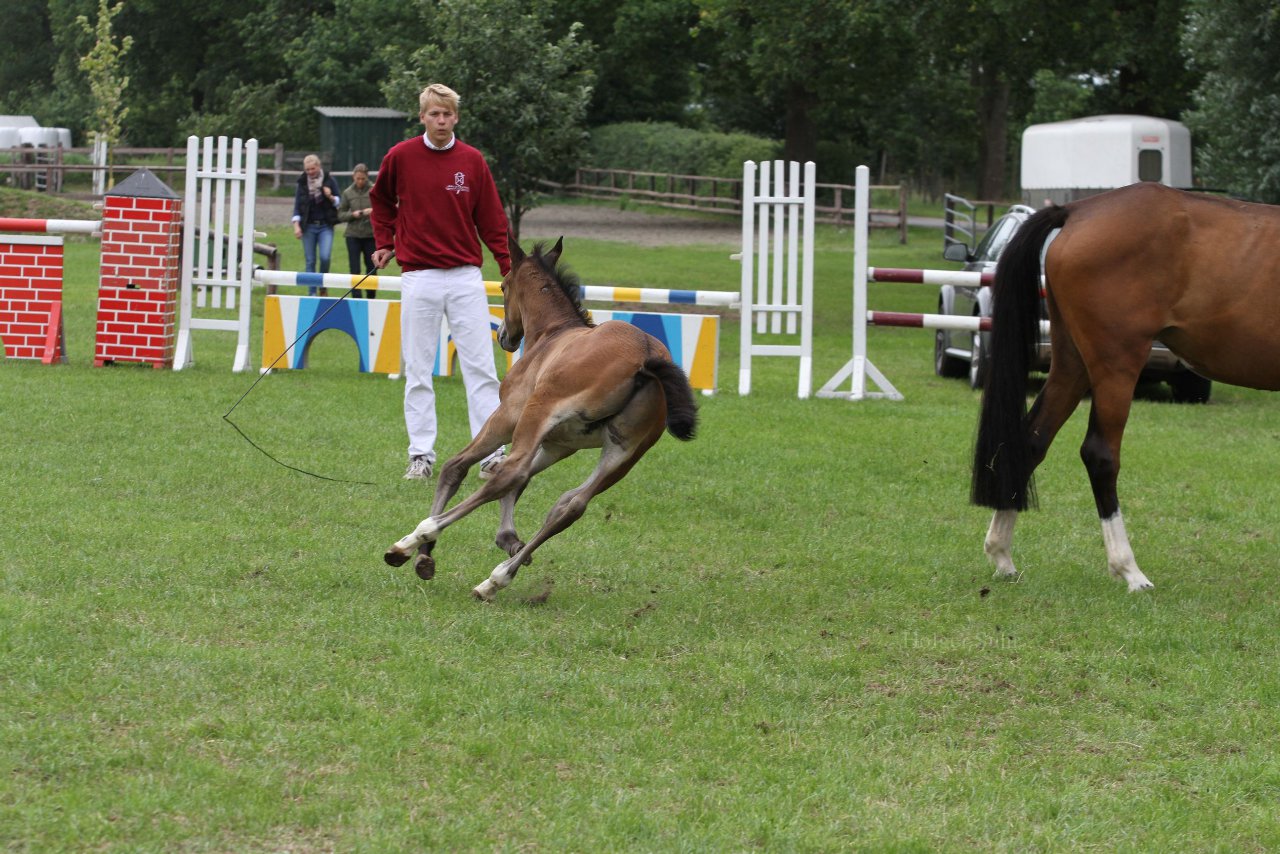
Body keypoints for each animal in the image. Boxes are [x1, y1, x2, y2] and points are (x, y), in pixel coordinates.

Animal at [381, 235, 701, 601]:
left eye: (503, 285)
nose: (504, 336)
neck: (552, 334)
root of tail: (646, 355)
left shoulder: (508, 418)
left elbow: (460, 467)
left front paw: (422, 552)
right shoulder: (559, 444)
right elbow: (523, 484)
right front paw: (509, 540)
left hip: (538, 414)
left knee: (510, 472)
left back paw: (413, 540)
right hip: (624, 453)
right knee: (570, 505)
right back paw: (496, 579)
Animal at [967, 184, 1280, 591]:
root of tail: (1080, 210)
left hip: (1071, 365)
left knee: (1032, 441)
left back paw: (1002, 554)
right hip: (1116, 366)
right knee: (1100, 455)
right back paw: (1129, 570)